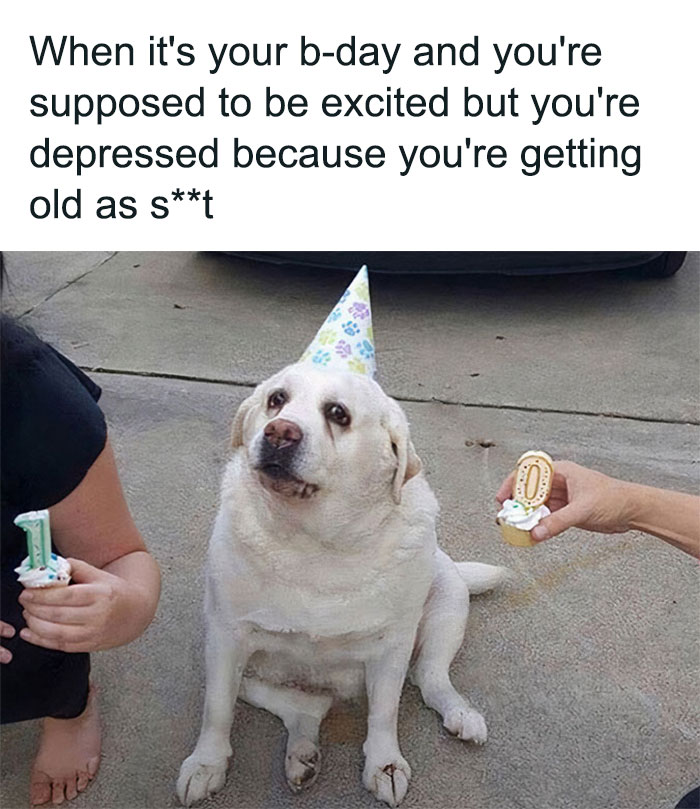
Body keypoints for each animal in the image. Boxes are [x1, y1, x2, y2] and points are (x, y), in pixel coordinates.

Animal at [178, 362, 506, 804]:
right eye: (276, 400)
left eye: (338, 413)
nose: (279, 431)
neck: (315, 542)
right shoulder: (226, 638)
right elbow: (217, 710)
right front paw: (206, 763)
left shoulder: (392, 645)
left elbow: (384, 712)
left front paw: (384, 763)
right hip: (245, 670)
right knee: (304, 708)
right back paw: (302, 753)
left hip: (448, 599)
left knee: (429, 677)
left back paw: (460, 714)